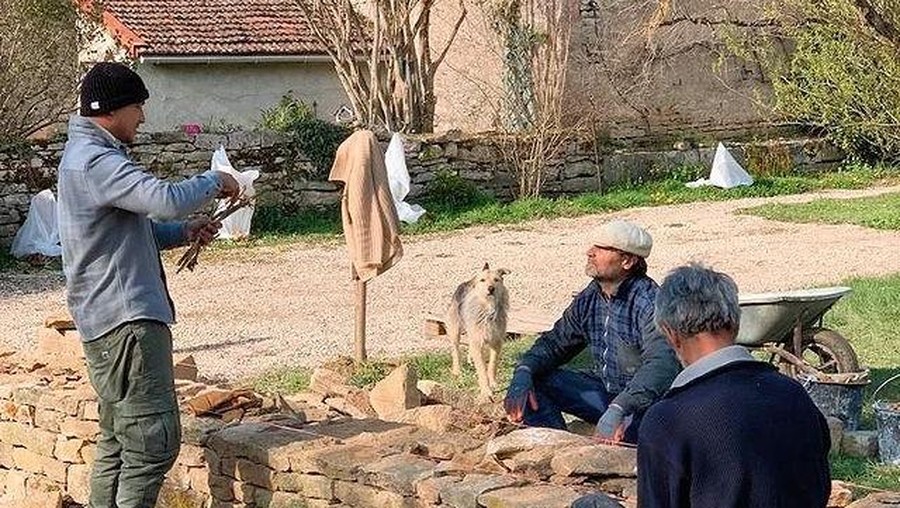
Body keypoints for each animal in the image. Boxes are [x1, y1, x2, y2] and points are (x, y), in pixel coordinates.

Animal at [446, 263, 510, 401]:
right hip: (455, 329)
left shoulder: (497, 342)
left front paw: (493, 383)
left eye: (496, 280)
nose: (491, 288)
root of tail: (467, 282)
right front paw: (486, 391)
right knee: (455, 350)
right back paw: (457, 371)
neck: (488, 310)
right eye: (483, 280)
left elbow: (492, 365)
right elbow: (481, 369)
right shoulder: (477, 342)